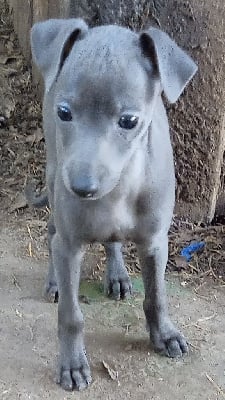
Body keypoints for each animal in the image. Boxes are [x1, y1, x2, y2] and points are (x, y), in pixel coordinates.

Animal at [30, 18, 197, 390]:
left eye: (129, 121)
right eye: (65, 112)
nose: (82, 188)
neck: (119, 190)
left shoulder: (155, 242)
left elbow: (157, 297)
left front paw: (164, 335)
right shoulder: (70, 244)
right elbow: (71, 316)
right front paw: (73, 364)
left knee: (112, 241)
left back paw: (118, 273)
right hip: (53, 173)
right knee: (52, 232)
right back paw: (54, 280)